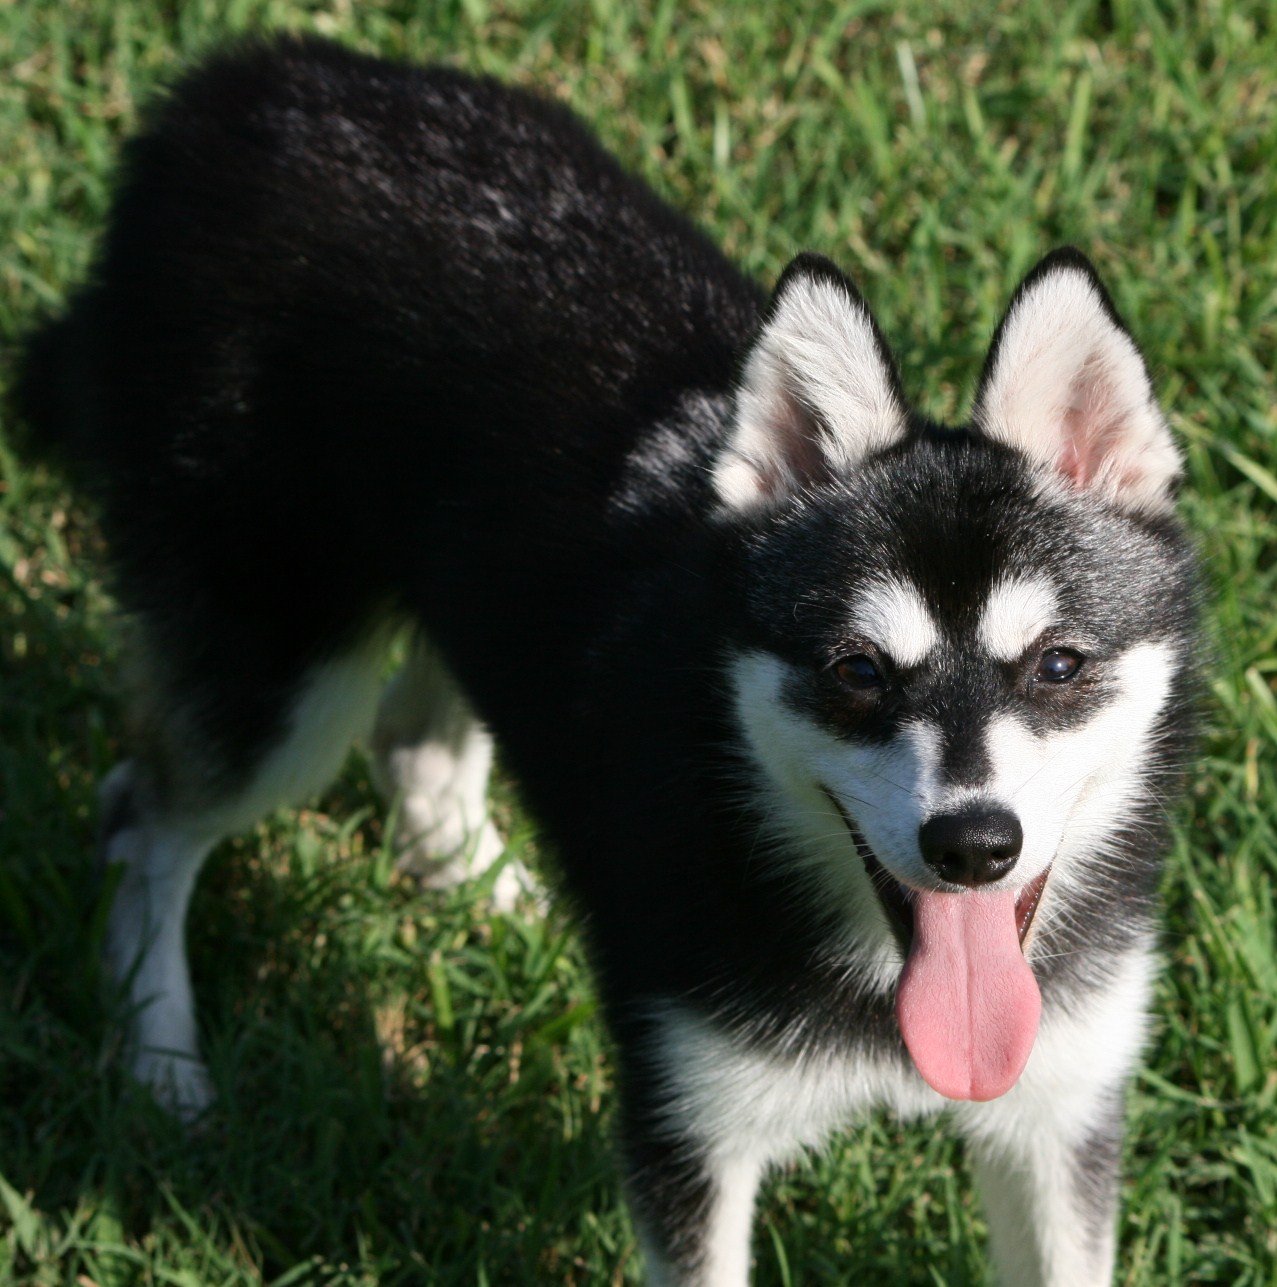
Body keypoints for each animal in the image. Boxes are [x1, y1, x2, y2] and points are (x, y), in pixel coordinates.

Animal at [14, 35, 1199, 1287]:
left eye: (1056, 666)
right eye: (857, 672)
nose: (972, 845)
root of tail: (237, 84)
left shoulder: (1058, 1115)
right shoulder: (693, 1130)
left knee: (411, 745)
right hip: (280, 689)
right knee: (142, 816)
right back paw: (162, 1066)